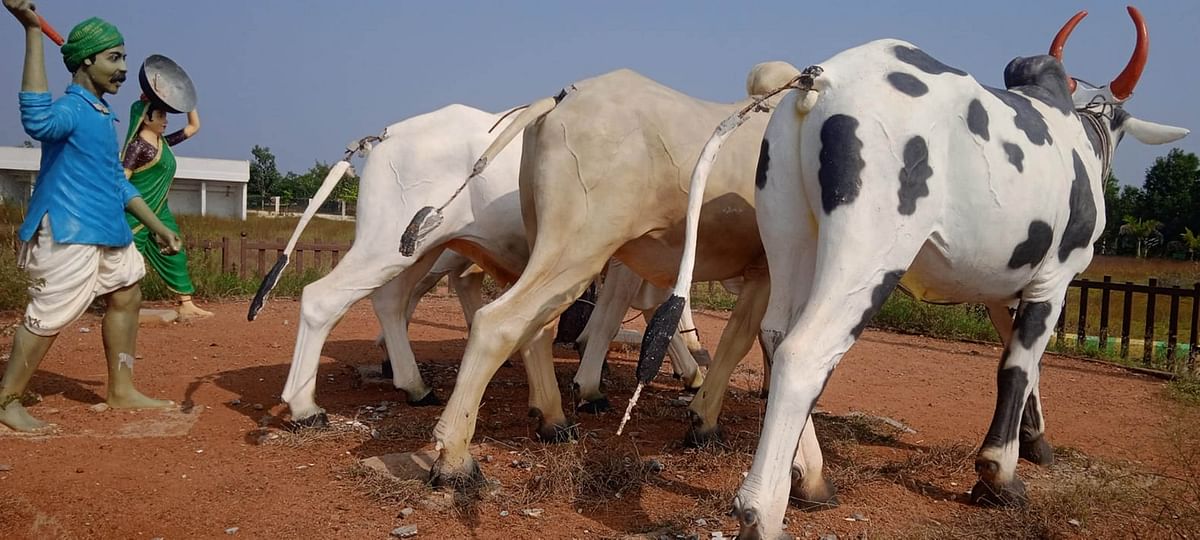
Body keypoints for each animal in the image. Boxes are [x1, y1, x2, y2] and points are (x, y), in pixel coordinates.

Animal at [652, 6, 1185, 537]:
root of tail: (819, 80)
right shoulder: (1054, 278)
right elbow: (1019, 366)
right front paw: (999, 476)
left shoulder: (1003, 288)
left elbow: (1021, 359)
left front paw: (1034, 441)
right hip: (870, 252)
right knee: (805, 353)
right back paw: (761, 510)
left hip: (790, 236)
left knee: (775, 333)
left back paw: (812, 479)